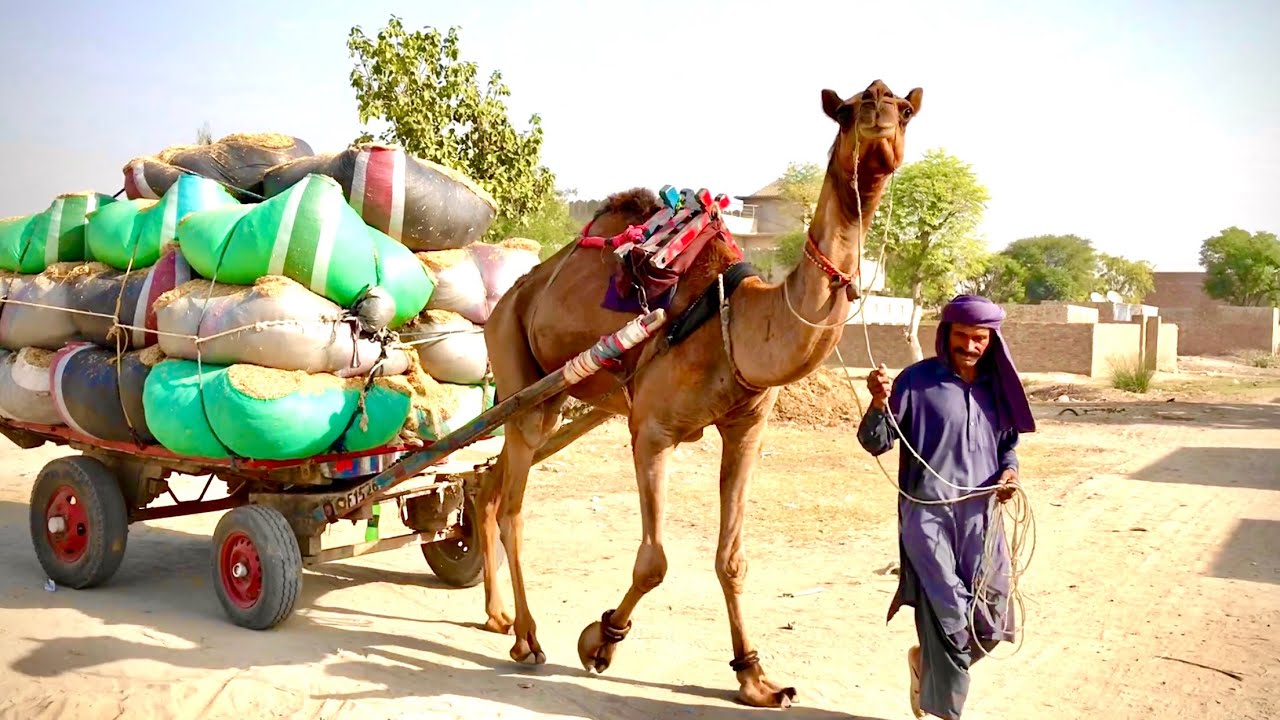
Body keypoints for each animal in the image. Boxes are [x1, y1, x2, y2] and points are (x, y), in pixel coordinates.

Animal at [475, 78, 923, 708]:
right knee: (514, 505)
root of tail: (508, 297)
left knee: (486, 485)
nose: (880, 116)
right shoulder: (652, 430)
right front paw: (601, 640)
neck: (737, 321)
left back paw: (496, 616)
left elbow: (732, 559)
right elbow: (654, 562)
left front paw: (756, 678)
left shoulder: (747, 429)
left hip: (553, 396)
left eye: (904, 111)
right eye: (848, 110)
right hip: (519, 370)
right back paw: (527, 638)